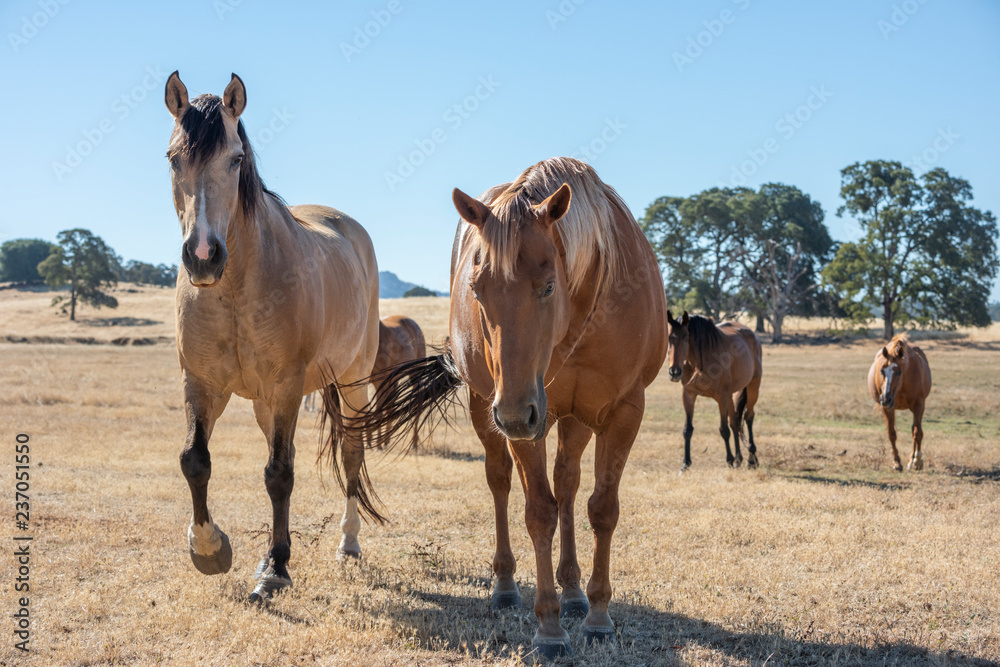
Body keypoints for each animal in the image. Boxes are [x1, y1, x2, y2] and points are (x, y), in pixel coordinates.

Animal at [164, 74, 382, 604]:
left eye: (235, 158)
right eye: (173, 157)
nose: (203, 255)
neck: (236, 289)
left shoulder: (287, 385)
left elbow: (279, 475)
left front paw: (276, 571)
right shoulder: (201, 383)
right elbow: (195, 461)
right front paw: (210, 549)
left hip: (351, 382)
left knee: (350, 454)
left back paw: (347, 543)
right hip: (266, 402)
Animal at [348, 158, 668, 664]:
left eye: (549, 286)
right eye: (477, 291)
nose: (515, 415)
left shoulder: (622, 411)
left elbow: (602, 509)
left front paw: (598, 617)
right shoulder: (521, 417)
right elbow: (538, 513)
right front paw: (550, 629)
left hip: (565, 417)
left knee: (568, 485)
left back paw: (574, 592)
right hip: (491, 409)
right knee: (501, 482)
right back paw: (505, 586)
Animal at [668, 310, 760, 472]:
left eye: (686, 338)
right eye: (669, 339)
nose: (674, 372)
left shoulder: (721, 398)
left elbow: (724, 430)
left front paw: (729, 460)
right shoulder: (688, 395)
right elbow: (687, 429)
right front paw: (685, 463)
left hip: (753, 386)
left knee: (748, 417)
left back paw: (751, 459)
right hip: (731, 395)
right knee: (735, 421)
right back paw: (739, 459)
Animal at [864, 336, 932, 472]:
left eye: (899, 372)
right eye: (882, 371)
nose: (886, 399)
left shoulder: (919, 406)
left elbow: (917, 433)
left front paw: (916, 461)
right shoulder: (888, 408)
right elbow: (892, 434)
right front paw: (897, 462)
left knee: (914, 431)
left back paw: (913, 460)